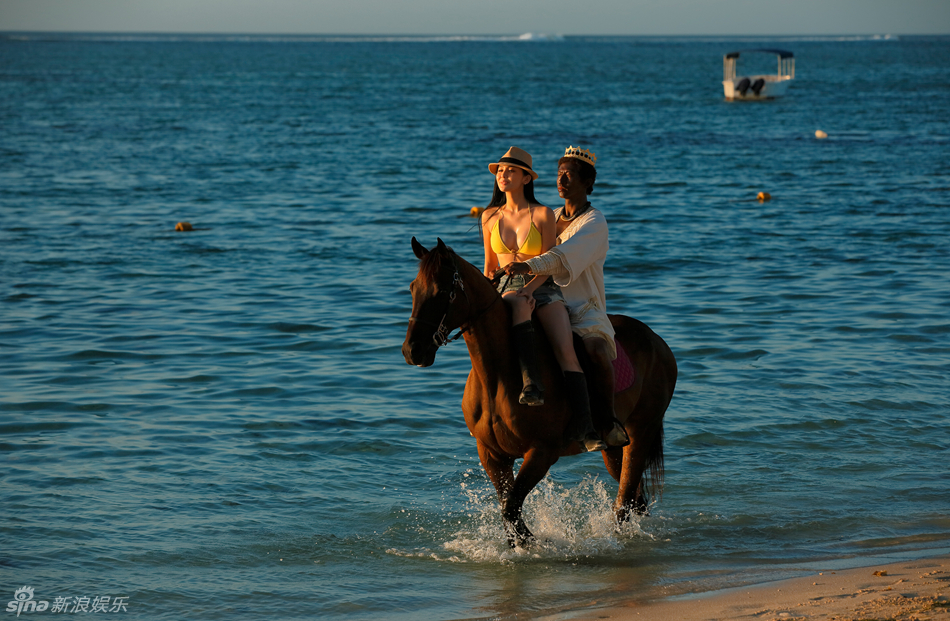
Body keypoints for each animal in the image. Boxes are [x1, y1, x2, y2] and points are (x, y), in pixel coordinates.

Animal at [402, 240, 676, 544]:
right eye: (413, 288)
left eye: (442, 292)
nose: (412, 351)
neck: (497, 378)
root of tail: (658, 342)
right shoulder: (492, 454)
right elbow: (509, 510)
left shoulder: (541, 452)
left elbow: (511, 509)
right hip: (615, 448)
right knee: (634, 499)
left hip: (641, 433)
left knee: (625, 502)